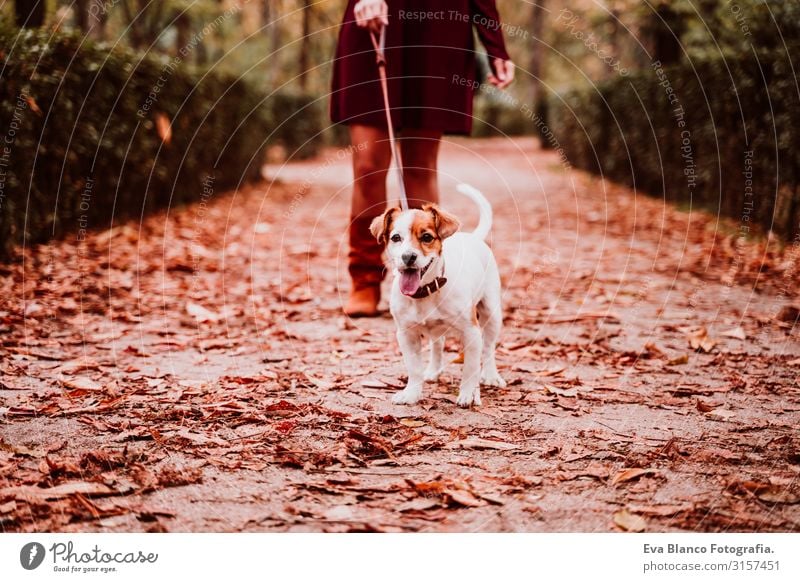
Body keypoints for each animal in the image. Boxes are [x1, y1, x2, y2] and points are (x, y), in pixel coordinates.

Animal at [370, 185, 506, 408]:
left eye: (427, 237)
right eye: (396, 238)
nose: (408, 256)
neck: (424, 292)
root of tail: (473, 238)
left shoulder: (471, 332)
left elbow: (470, 367)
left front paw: (468, 394)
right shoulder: (406, 334)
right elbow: (414, 368)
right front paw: (411, 393)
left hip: (492, 314)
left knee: (488, 348)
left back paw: (491, 375)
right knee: (438, 345)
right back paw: (433, 371)